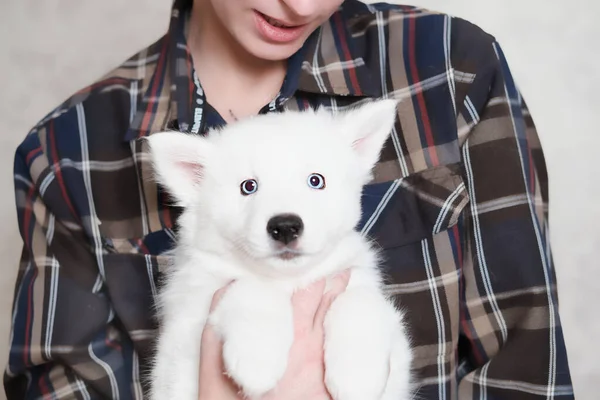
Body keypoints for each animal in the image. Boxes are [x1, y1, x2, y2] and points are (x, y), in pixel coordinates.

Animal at [148, 99, 414, 400]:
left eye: (315, 180)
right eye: (248, 186)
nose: (285, 226)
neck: (289, 281)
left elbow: (360, 299)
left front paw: (357, 376)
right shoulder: (184, 334)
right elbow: (251, 287)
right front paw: (257, 360)